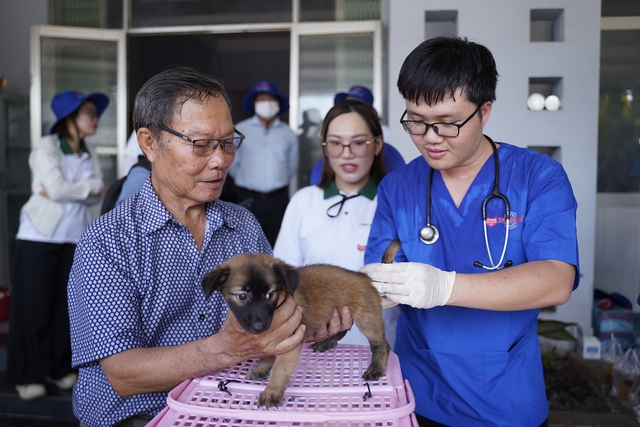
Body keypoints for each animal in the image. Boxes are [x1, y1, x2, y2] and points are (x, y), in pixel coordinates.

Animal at [201, 242, 400, 410]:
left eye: (269, 294)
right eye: (242, 296)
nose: (259, 326)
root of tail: (364, 278)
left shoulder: (291, 344)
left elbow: (279, 369)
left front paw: (272, 392)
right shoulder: (268, 340)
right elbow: (266, 357)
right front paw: (261, 370)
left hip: (366, 319)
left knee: (381, 344)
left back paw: (375, 368)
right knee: (344, 329)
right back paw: (327, 342)